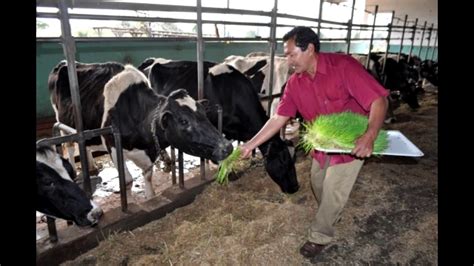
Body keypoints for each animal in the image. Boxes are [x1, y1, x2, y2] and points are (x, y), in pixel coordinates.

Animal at [48, 62, 233, 198]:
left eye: (203, 113)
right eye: (183, 121)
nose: (227, 147)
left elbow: (148, 175)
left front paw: (150, 197)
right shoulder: (113, 146)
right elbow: (127, 181)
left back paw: (92, 166)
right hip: (62, 122)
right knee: (70, 146)